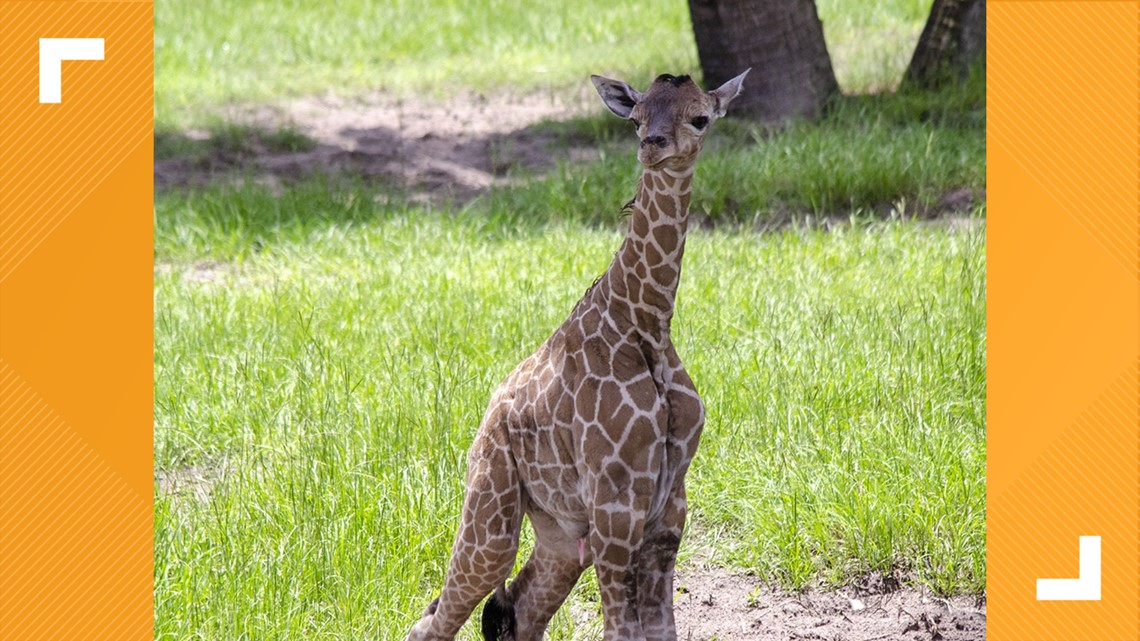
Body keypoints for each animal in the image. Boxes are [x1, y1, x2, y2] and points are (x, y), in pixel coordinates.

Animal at [408, 69, 747, 638]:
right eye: (635, 118)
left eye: (700, 118)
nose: (652, 146)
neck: (647, 325)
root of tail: (485, 420)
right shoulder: (615, 504)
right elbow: (621, 631)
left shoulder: (669, 508)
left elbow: (661, 629)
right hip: (493, 513)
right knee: (438, 617)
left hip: (561, 535)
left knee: (516, 612)